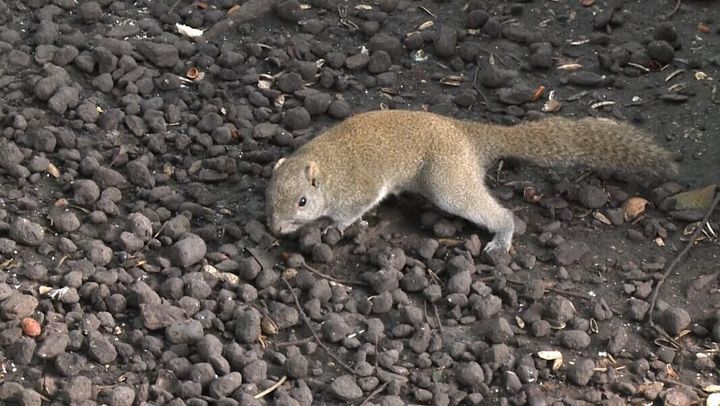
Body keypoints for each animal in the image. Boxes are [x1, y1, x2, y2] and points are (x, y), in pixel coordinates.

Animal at [262, 109, 676, 252]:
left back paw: (502, 237)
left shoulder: (356, 189)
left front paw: (333, 226)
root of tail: (469, 136)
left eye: (302, 201)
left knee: (497, 212)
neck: (325, 166)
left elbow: (351, 211)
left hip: (448, 182)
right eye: (269, 198)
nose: (276, 229)